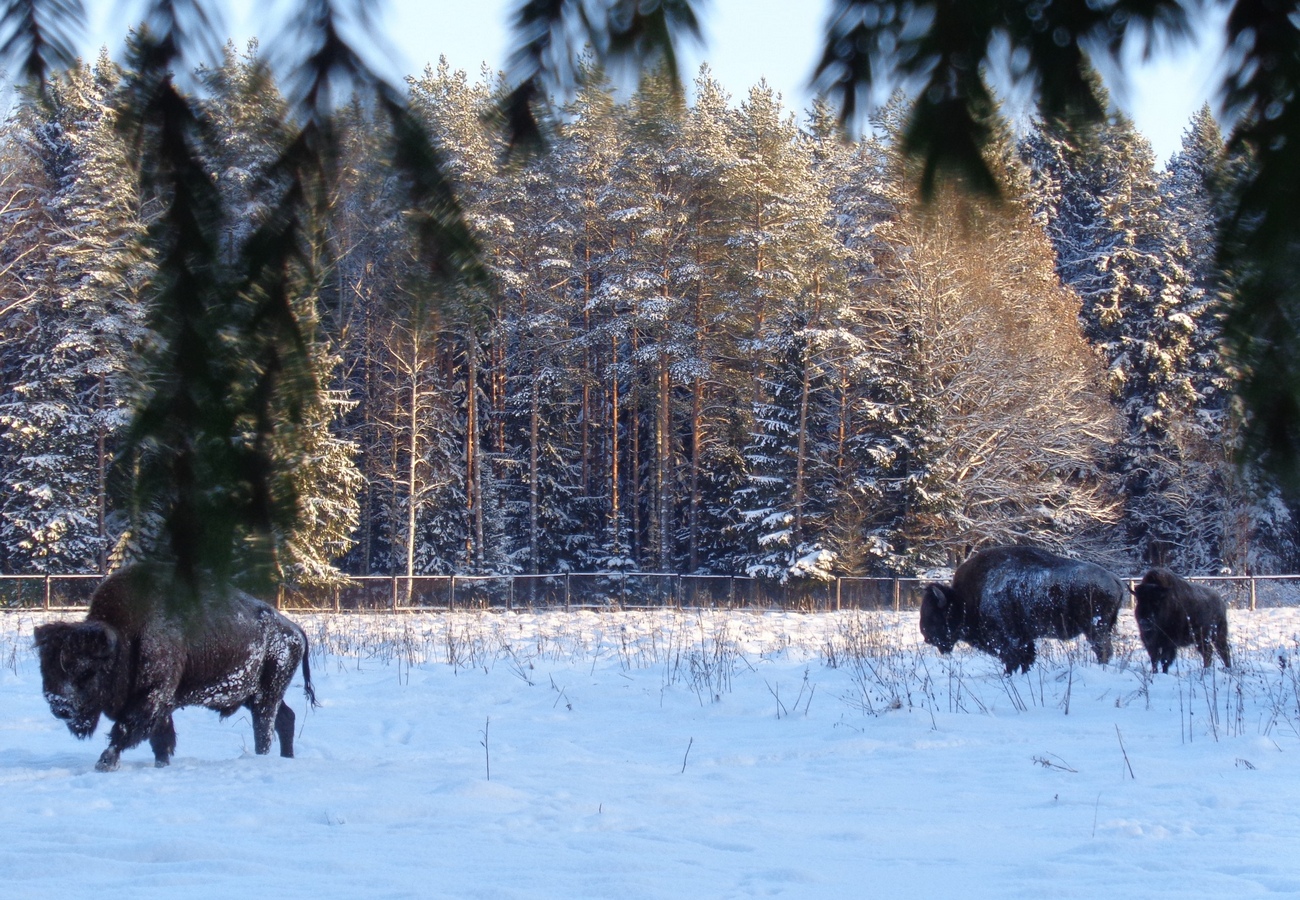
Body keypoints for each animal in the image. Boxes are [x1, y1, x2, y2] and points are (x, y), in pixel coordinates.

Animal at [32, 567, 317, 769]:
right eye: (45, 669)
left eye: (87, 671)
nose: (60, 706)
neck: (125, 639)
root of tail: (294, 630)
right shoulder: (162, 705)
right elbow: (161, 740)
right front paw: (161, 764)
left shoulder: (151, 697)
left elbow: (127, 730)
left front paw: (105, 762)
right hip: (256, 695)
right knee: (285, 719)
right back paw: (286, 757)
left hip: (266, 695)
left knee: (265, 728)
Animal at [920, 543, 1123, 671]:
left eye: (934, 615)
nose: (926, 636)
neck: (963, 598)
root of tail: (1113, 578)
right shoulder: (1025, 639)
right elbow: (1027, 658)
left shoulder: (1009, 640)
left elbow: (1014, 659)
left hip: (1095, 628)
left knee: (1103, 650)